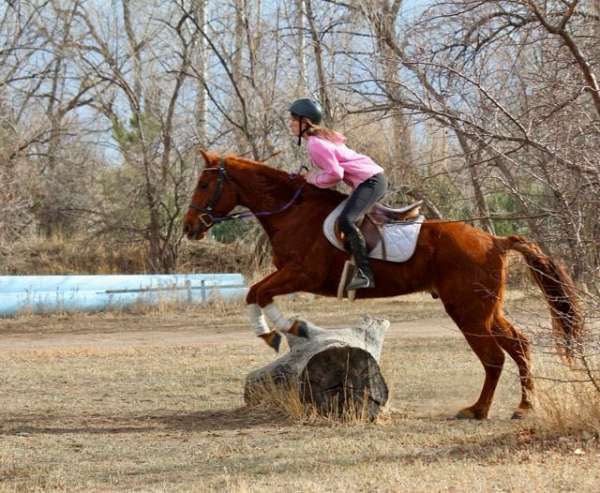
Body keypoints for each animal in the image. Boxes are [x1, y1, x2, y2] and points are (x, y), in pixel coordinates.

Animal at [185, 150, 584, 418]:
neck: (292, 212)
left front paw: (280, 330)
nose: (190, 227)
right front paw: (288, 329)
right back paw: (524, 406)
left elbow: (257, 291)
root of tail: (494, 240)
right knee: (519, 345)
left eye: (204, 184)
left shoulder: (302, 275)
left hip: (468, 312)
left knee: (494, 357)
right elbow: (257, 292)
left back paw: (478, 410)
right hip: (487, 309)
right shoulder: (293, 276)